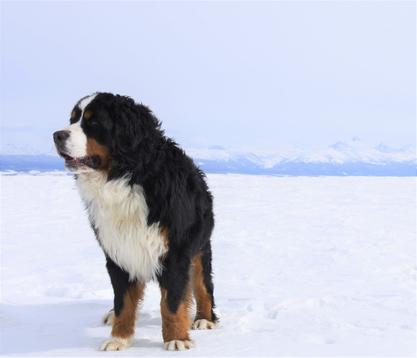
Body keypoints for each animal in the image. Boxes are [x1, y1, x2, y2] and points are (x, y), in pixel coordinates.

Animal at [52, 93, 218, 352]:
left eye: (93, 122)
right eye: (72, 119)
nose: (57, 135)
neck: (125, 178)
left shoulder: (175, 252)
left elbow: (172, 302)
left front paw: (177, 338)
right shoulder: (118, 250)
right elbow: (124, 301)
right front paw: (118, 338)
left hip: (200, 247)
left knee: (202, 285)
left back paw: (204, 318)